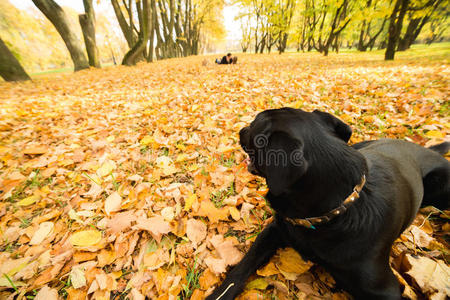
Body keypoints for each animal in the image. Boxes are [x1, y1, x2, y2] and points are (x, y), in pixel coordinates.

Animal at [206, 108, 448, 300]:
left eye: (255, 125)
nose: (240, 130)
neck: (326, 217)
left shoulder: (385, 290)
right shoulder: (275, 229)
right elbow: (243, 266)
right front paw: (219, 294)